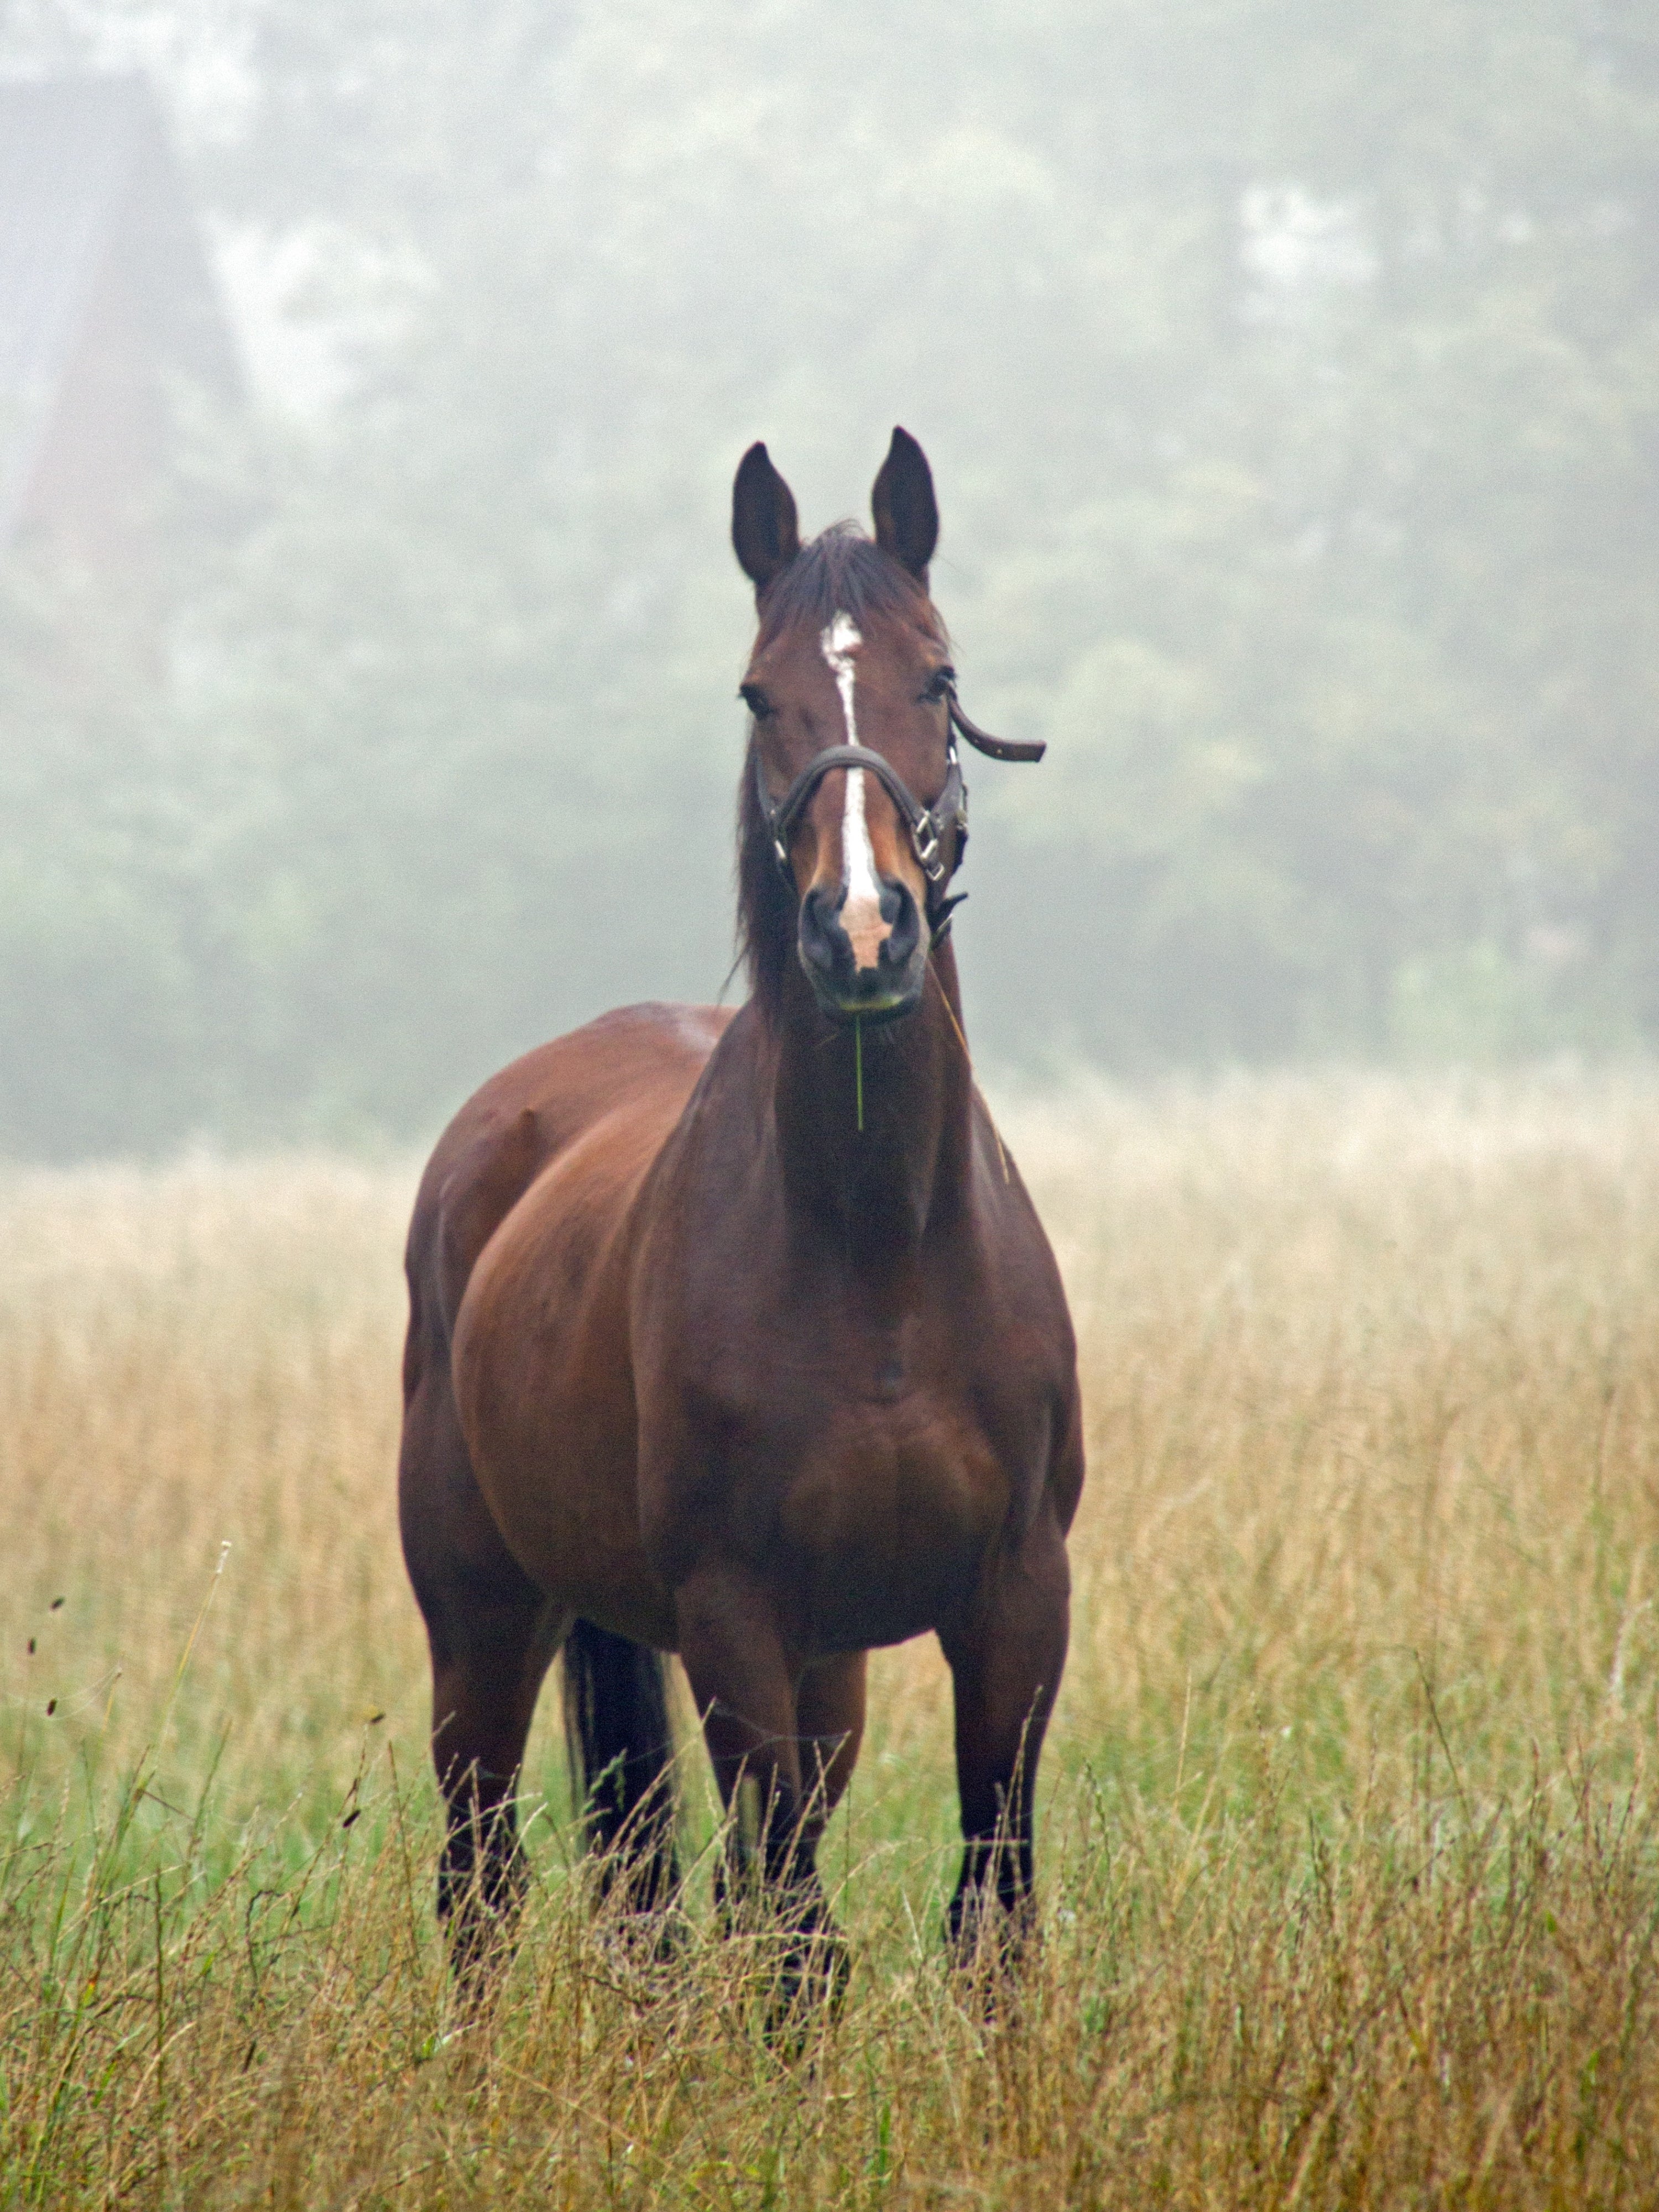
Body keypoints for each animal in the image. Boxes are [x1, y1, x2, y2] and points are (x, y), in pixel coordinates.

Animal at [397, 428, 1083, 1998]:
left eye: (937, 676)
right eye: (759, 693)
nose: (863, 931)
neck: (879, 1254)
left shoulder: (1015, 1601)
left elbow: (991, 1912)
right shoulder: (733, 1615)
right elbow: (789, 1937)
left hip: (815, 1668)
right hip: (481, 1622)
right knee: (484, 1884)